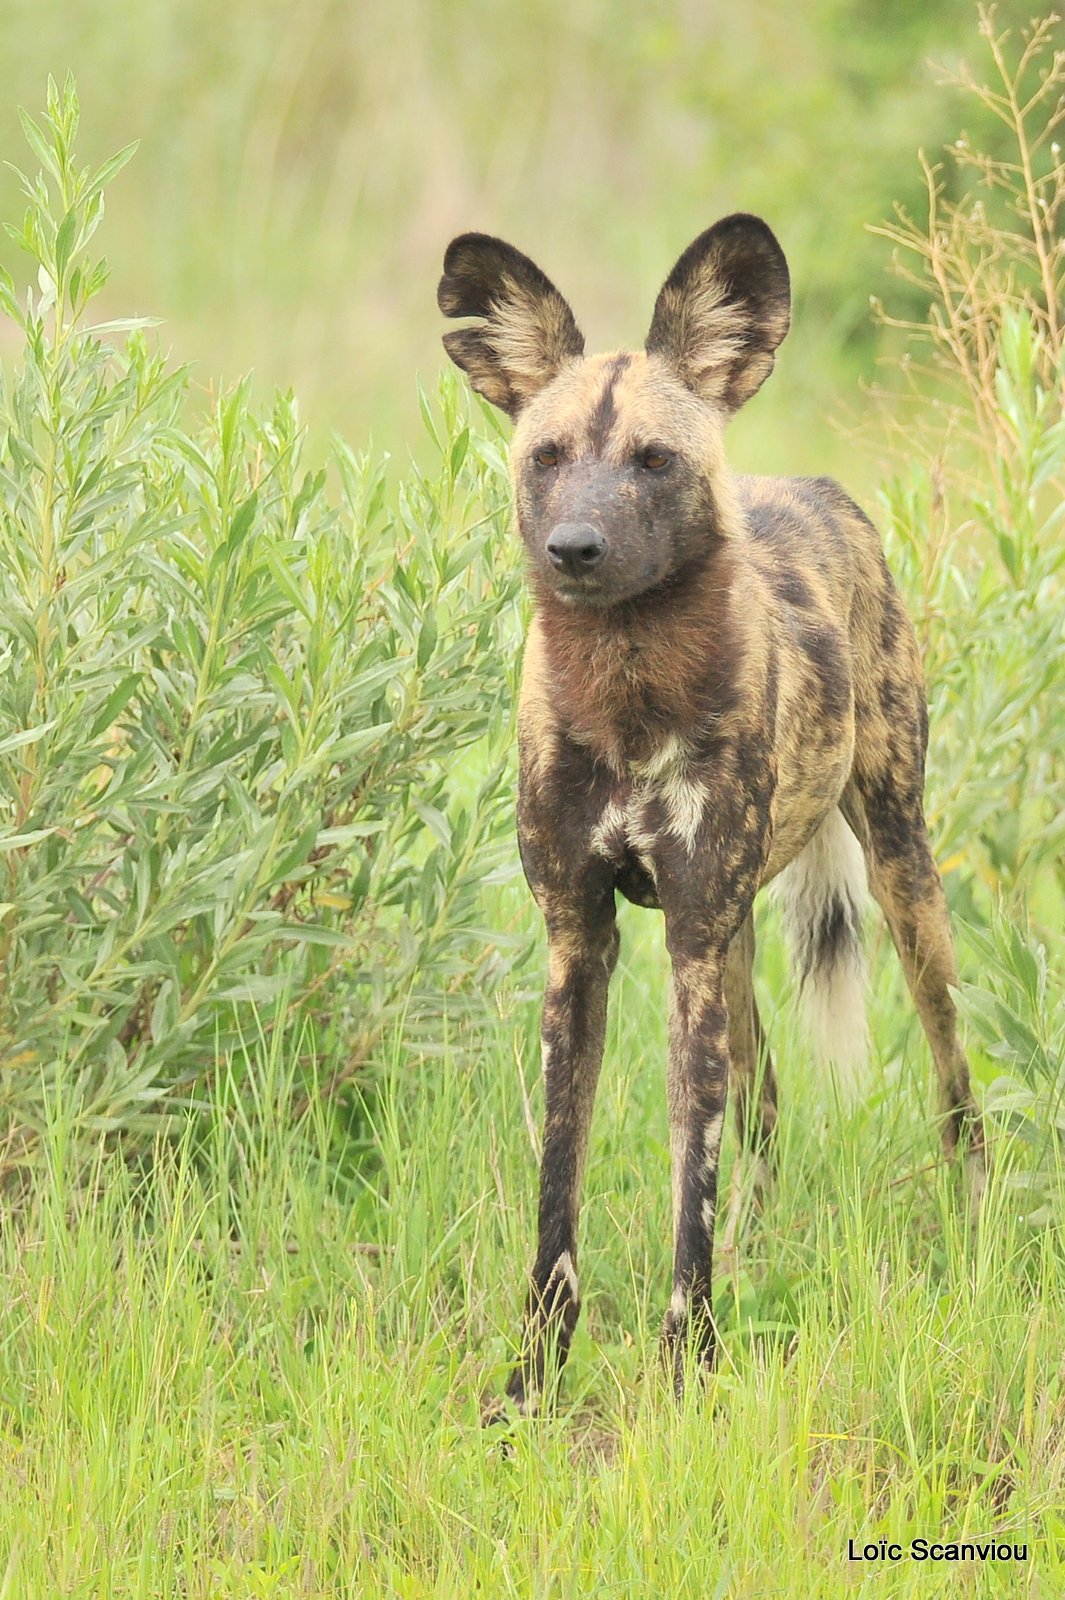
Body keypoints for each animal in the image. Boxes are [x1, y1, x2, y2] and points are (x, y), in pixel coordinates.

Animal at [434, 216, 985, 1414]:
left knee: (953, 1086)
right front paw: (534, 1378)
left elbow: (689, 1172)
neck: (629, 687)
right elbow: (561, 1189)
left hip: (897, 880)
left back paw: (970, 1231)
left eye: (654, 461)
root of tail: (818, 488)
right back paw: (757, 1248)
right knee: (764, 1103)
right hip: (729, 944)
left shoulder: (683, 933)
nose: (575, 548)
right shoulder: (582, 944)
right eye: (547, 458)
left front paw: (690, 1365)